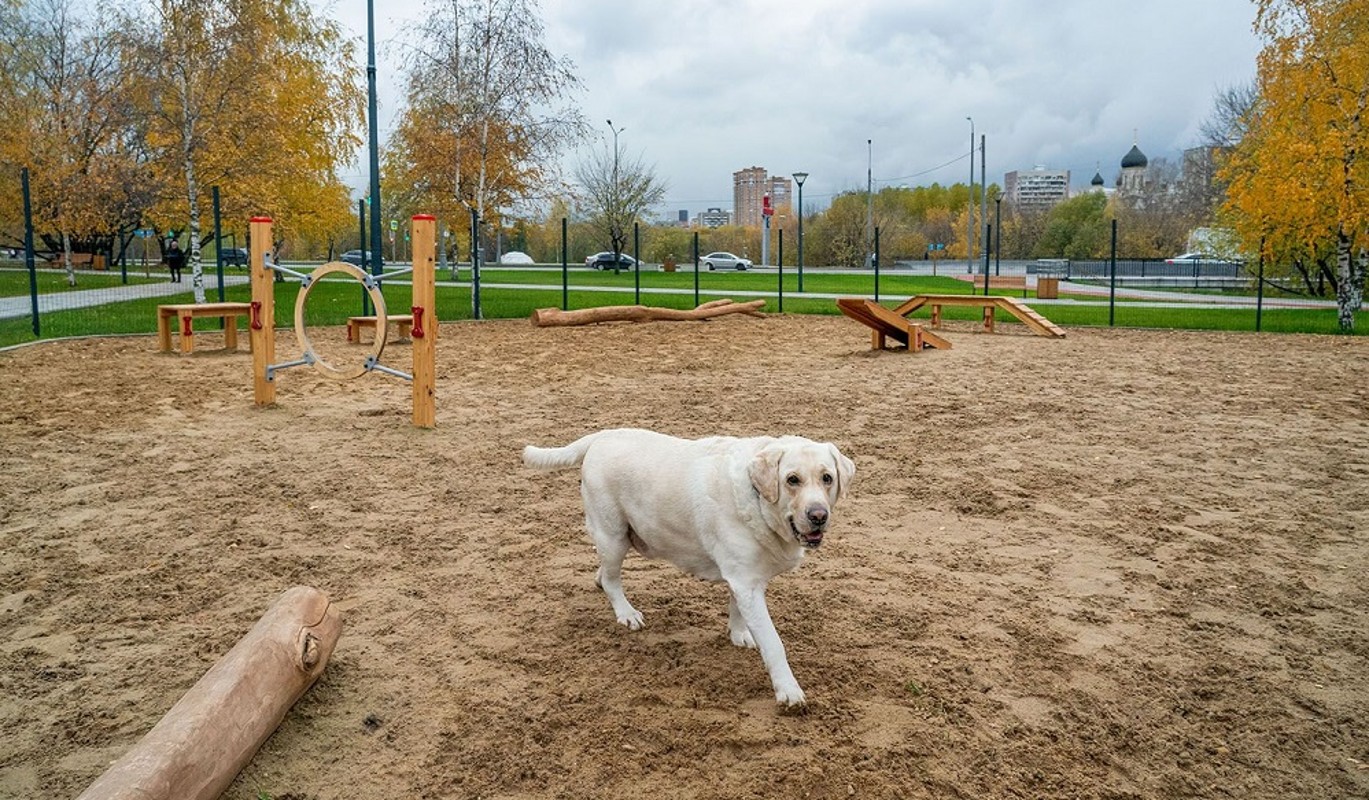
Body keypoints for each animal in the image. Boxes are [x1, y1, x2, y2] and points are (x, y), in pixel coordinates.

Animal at [522, 427, 854, 706]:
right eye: (792, 479)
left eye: (827, 478)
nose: (818, 515)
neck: (758, 501)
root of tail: (602, 436)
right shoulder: (746, 583)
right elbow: (774, 644)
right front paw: (788, 691)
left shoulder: (742, 579)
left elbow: (736, 608)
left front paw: (739, 634)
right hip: (613, 535)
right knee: (613, 579)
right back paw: (626, 613)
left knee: (603, 574)